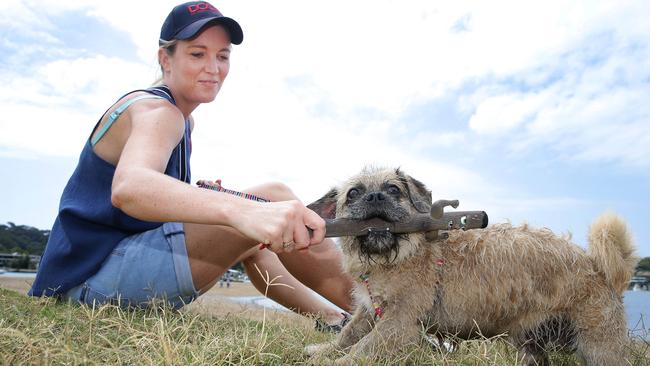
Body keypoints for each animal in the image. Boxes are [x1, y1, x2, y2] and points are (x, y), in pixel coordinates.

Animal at [306, 167, 636, 364]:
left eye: (394, 189)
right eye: (353, 193)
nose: (375, 196)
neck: (395, 257)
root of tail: (598, 266)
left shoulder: (398, 322)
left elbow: (362, 348)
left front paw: (334, 361)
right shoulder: (368, 311)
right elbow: (348, 335)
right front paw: (324, 351)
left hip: (599, 348)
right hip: (532, 346)